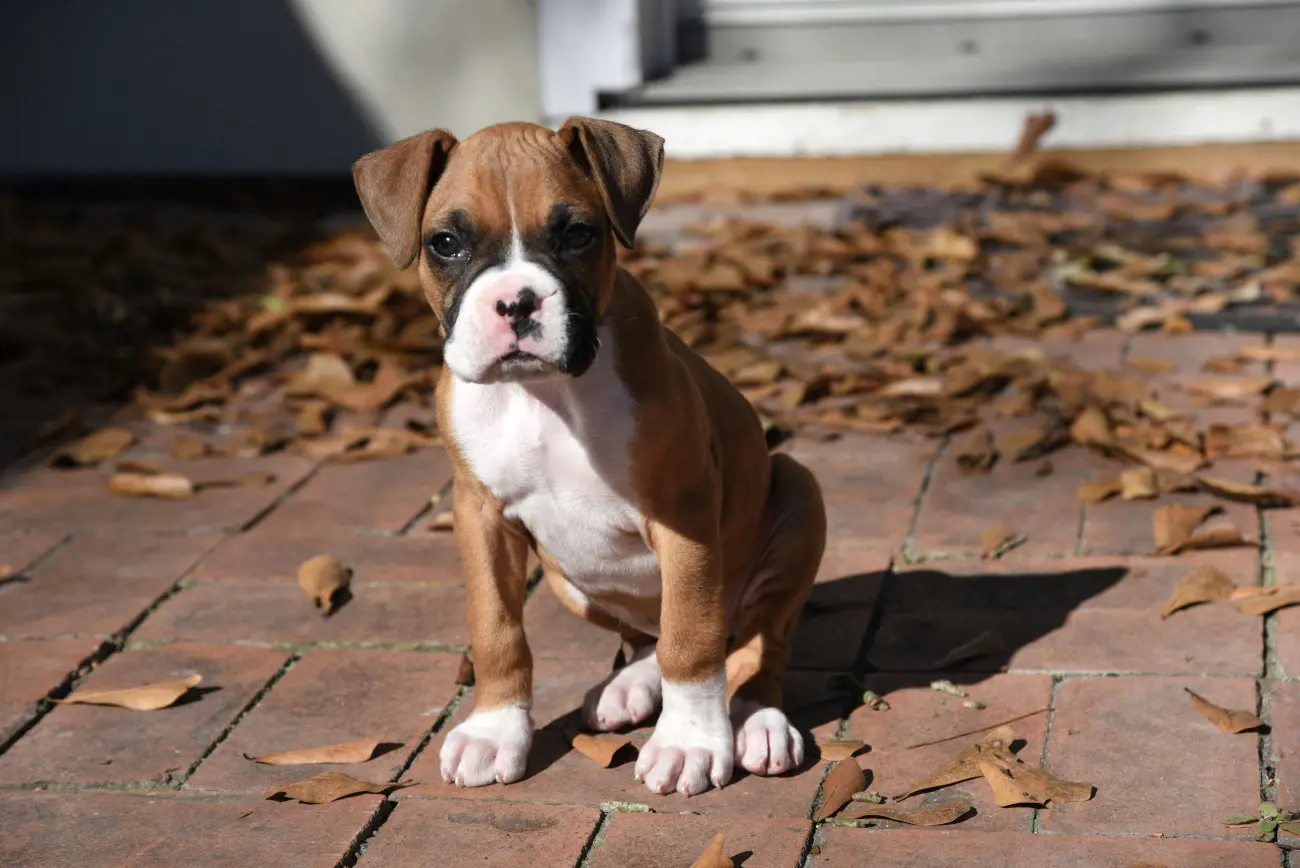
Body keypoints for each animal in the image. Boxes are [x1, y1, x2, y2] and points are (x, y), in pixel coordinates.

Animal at [351, 118, 826, 795]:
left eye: (577, 234)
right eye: (445, 243)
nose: (515, 302)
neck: (544, 394)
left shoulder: (684, 518)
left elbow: (693, 639)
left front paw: (688, 742)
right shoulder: (479, 516)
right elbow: (496, 628)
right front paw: (495, 729)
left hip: (799, 497)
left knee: (754, 643)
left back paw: (758, 721)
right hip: (565, 580)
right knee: (648, 634)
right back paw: (629, 686)